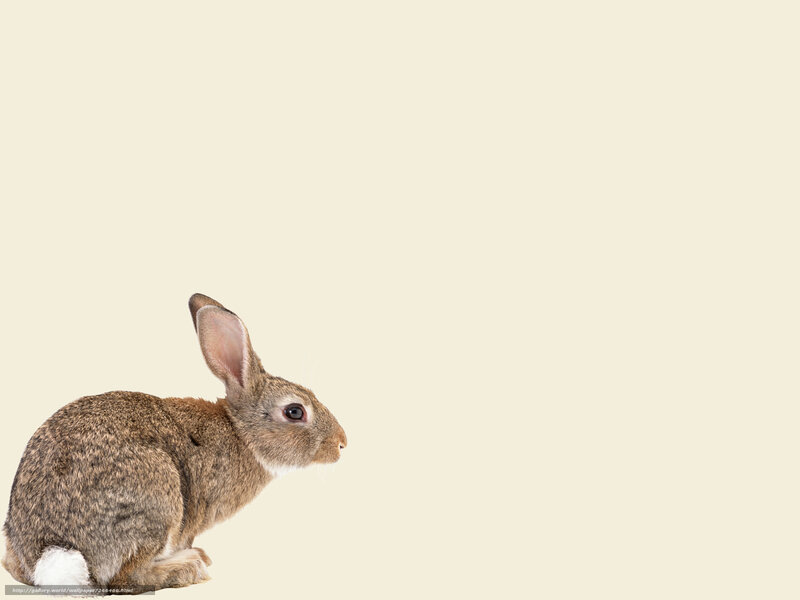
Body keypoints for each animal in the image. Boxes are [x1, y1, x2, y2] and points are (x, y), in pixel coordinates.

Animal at [2, 293, 347, 592]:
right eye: (295, 411)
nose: (342, 443)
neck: (240, 432)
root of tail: (52, 552)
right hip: (158, 499)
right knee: (125, 576)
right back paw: (189, 566)